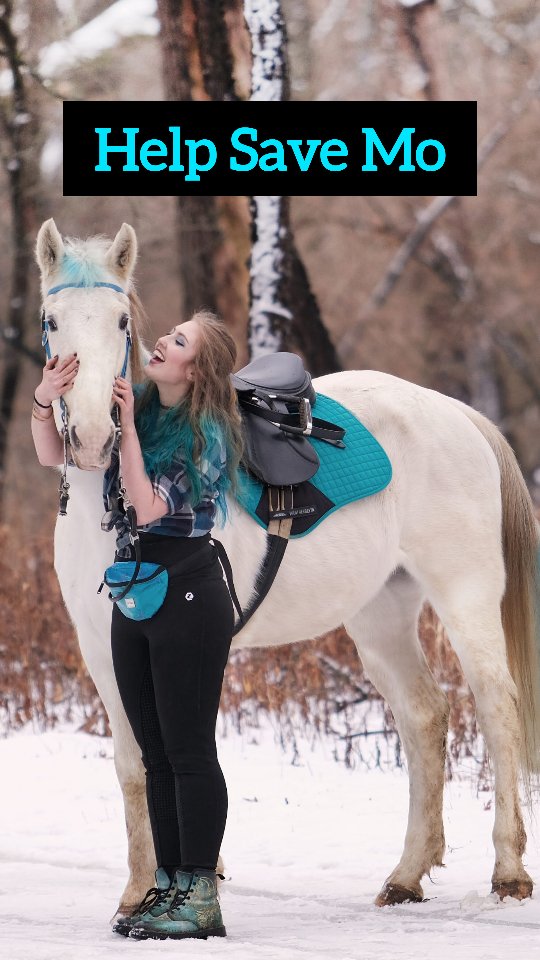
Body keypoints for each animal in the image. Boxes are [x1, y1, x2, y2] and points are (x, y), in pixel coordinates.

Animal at [34, 218, 540, 922]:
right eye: (53, 321)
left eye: (119, 321)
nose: (89, 435)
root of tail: (458, 415)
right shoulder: (103, 648)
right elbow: (136, 765)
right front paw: (143, 893)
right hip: (381, 616)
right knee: (424, 715)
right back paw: (406, 877)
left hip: (466, 601)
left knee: (496, 708)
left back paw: (509, 872)